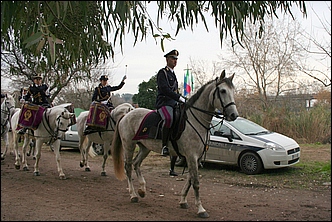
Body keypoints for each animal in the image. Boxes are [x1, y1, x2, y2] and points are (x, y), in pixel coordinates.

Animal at [111, 71, 239, 219]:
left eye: (233, 91)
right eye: (223, 91)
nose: (234, 115)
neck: (195, 120)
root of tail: (126, 114)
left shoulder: (196, 158)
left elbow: (189, 180)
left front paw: (183, 201)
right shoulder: (191, 156)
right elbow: (195, 182)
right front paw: (201, 209)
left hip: (144, 148)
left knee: (136, 164)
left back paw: (142, 190)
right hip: (129, 146)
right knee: (128, 167)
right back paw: (133, 195)